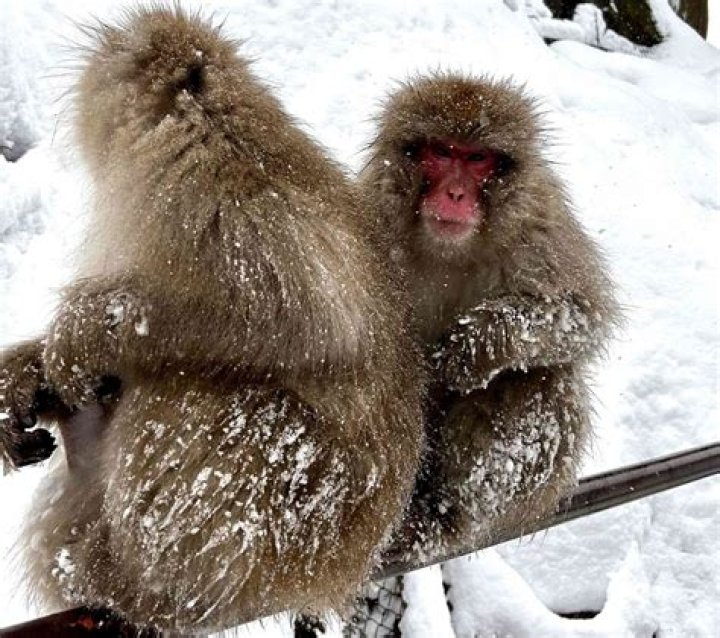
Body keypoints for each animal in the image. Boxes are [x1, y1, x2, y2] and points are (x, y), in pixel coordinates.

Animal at [0, 7, 425, 633]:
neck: (209, 120)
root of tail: (339, 575)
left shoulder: (212, 194)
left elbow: (298, 318)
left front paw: (88, 331)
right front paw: (25, 377)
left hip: (289, 533)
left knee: (203, 401)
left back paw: (135, 586)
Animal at [360, 73, 620, 561]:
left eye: (477, 158)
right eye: (442, 152)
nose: (455, 193)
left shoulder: (538, 223)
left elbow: (582, 315)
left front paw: (473, 347)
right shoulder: (371, 219)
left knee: (541, 380)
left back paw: (446, 516)